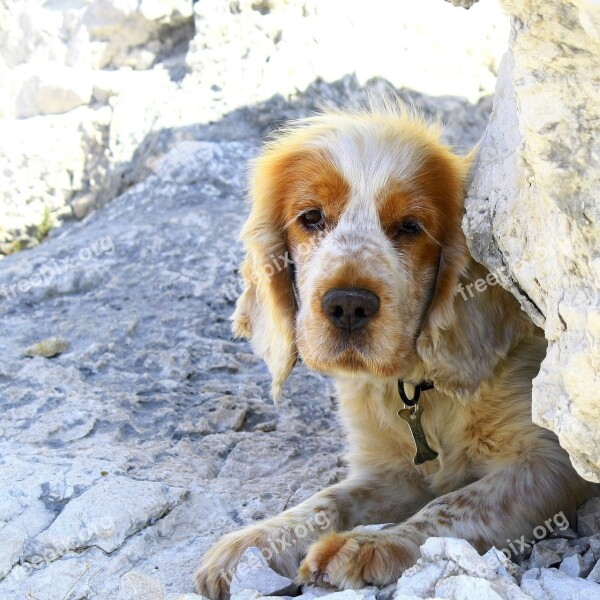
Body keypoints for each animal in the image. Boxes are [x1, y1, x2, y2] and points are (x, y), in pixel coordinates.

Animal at [196, 105, 596, 596]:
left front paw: (369, 545)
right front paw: (253, 541)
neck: (418, 386)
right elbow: (329, 498)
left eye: (411, 226)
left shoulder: (549, 462)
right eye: (311, 217)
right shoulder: (388, 471)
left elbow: (456, 505)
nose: (349, 305)